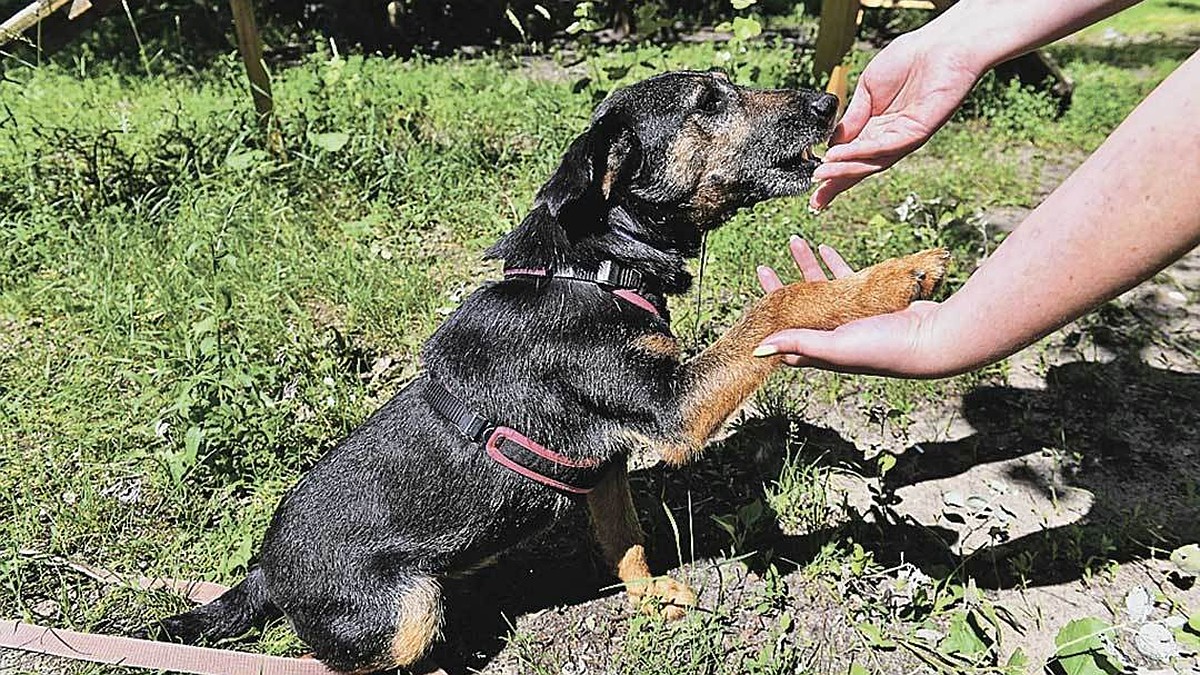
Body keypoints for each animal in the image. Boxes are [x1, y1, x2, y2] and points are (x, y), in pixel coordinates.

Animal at [154, 68, 945, 667]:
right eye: (708, 102)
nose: (827, 104)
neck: (594, 267)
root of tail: (266, 573)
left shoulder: (606, 463)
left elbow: (625, 539)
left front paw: (650, 595)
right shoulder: (674, 408)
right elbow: (779, 303)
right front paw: (899, 275)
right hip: (405, 608)